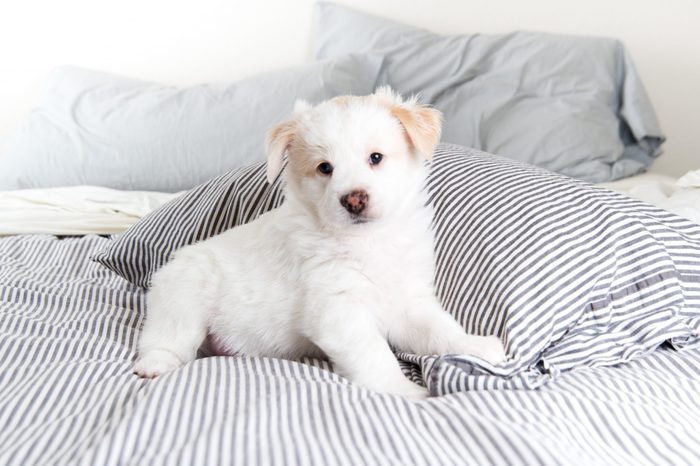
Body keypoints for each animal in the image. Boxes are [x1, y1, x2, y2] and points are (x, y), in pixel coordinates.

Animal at [135, 87, 508, 396]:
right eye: (324, 167)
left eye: (376, 158)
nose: (354, 199)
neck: (368, 242)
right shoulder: (338, 310)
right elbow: (376, 355)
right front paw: (404, 392)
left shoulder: (410, 301)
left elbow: (439, 329)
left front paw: (474, 346)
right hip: (182, 302)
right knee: (165, 340)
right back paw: (155, 365)